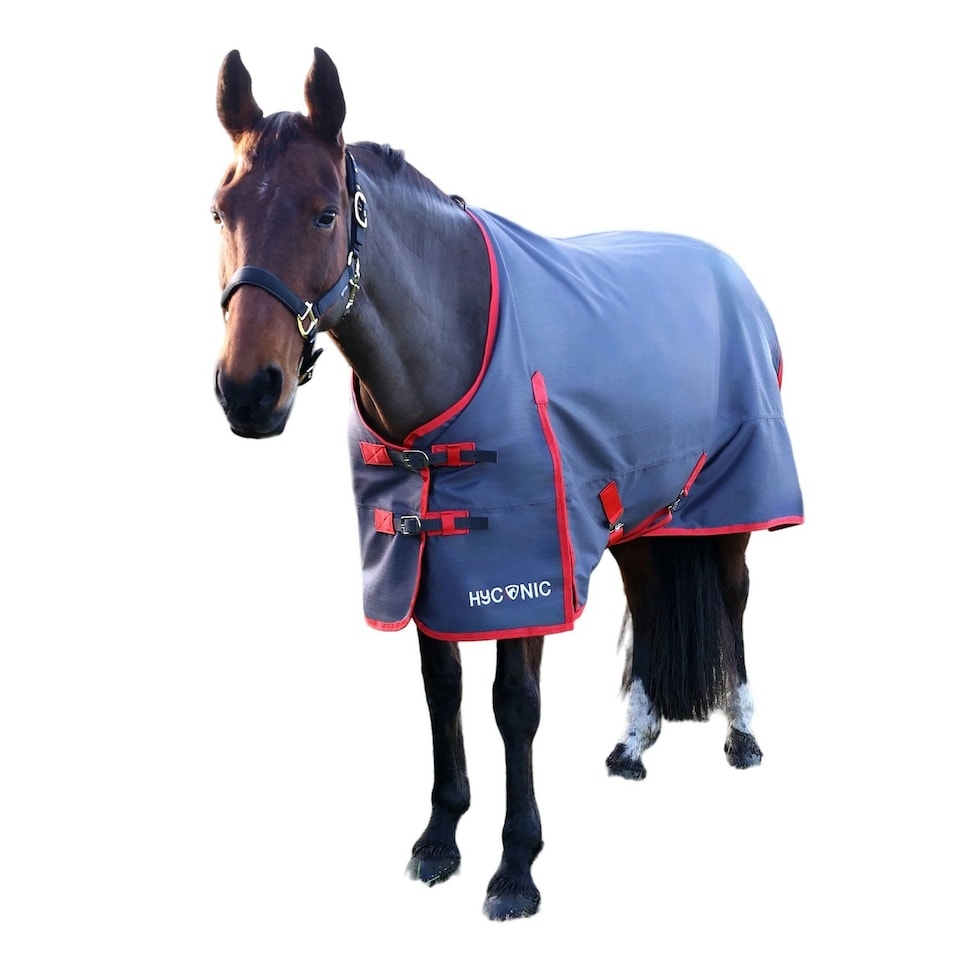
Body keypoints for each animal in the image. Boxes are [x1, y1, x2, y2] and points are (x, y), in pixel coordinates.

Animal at [210, 47, 803, 921]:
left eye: (323, 214)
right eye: (220, 211)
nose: (249, 392)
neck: (455, 341)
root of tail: (731, 271)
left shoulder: (524, 564)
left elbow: (513, 706)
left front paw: (515, 867)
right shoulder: (426, 559)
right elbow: (442, 691)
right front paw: (438, 839)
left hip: (731, 501)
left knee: (733, 599)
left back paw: (743, 735)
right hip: (640, 518)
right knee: (648, 602)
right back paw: (633, 741)